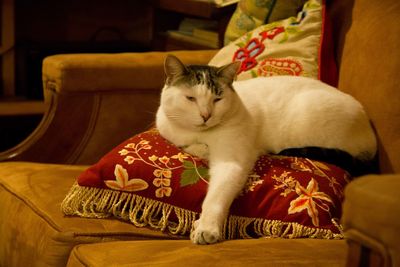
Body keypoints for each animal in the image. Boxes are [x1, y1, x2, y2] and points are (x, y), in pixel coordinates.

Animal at [155, 54, 376, 245]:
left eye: (217, 99)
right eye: (190, 98)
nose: (206, 115)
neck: (199, 134)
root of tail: (369, 129)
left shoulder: (232, 161)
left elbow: (216, 197)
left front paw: (206, 228)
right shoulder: (171, 133)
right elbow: (190, 146)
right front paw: (200, 148)